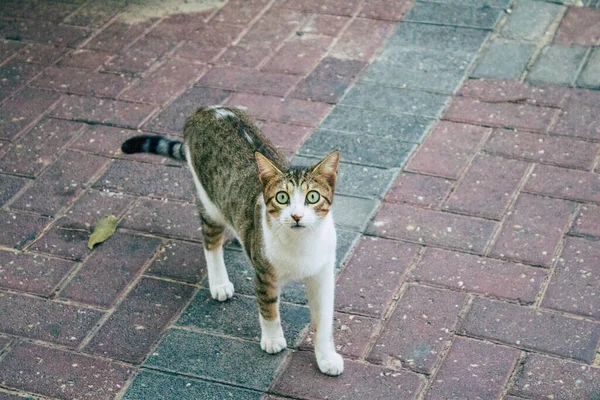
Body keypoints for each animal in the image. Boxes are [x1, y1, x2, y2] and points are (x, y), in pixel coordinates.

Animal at [120, 105, 344, 376]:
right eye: (282, 197)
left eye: (312, 197)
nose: (297, 216)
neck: (301, 244)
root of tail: (206, 110)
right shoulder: (264, 274)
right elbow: (268, 308)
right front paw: (272, 339)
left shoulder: (323, 273)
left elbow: (324, 319)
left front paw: (326, 357)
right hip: (209, 201)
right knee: (211, 242)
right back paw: (219, 282)